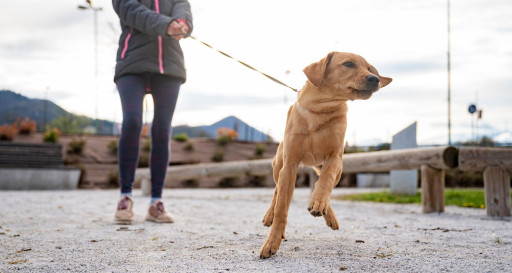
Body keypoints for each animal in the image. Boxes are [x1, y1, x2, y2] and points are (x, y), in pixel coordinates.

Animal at [260, 51, 392, 258]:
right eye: (348, 64)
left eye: (369, 68)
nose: (375, 79)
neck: (320, 110)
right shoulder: (289, 165)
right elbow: (282, 208)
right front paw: (271, 242)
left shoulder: (334, 158)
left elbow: (325, 182)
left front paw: (319, 203)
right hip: (278, 166)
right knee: (276, 190)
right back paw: (270, 215)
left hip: (335, 169)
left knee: (322, 183)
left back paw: (323, 209)